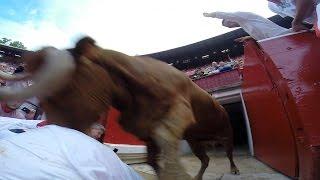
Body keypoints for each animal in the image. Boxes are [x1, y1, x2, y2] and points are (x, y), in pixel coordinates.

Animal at [0, 37, 239, 179]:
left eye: (69, 85)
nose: (56, 125)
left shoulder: (180, 110)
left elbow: (164, 136)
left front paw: (177, 174)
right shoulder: (144, 132)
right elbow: (152, 159)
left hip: (227, 133)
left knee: (228, 152)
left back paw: (234, 169)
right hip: (195, 140)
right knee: (205, 159)